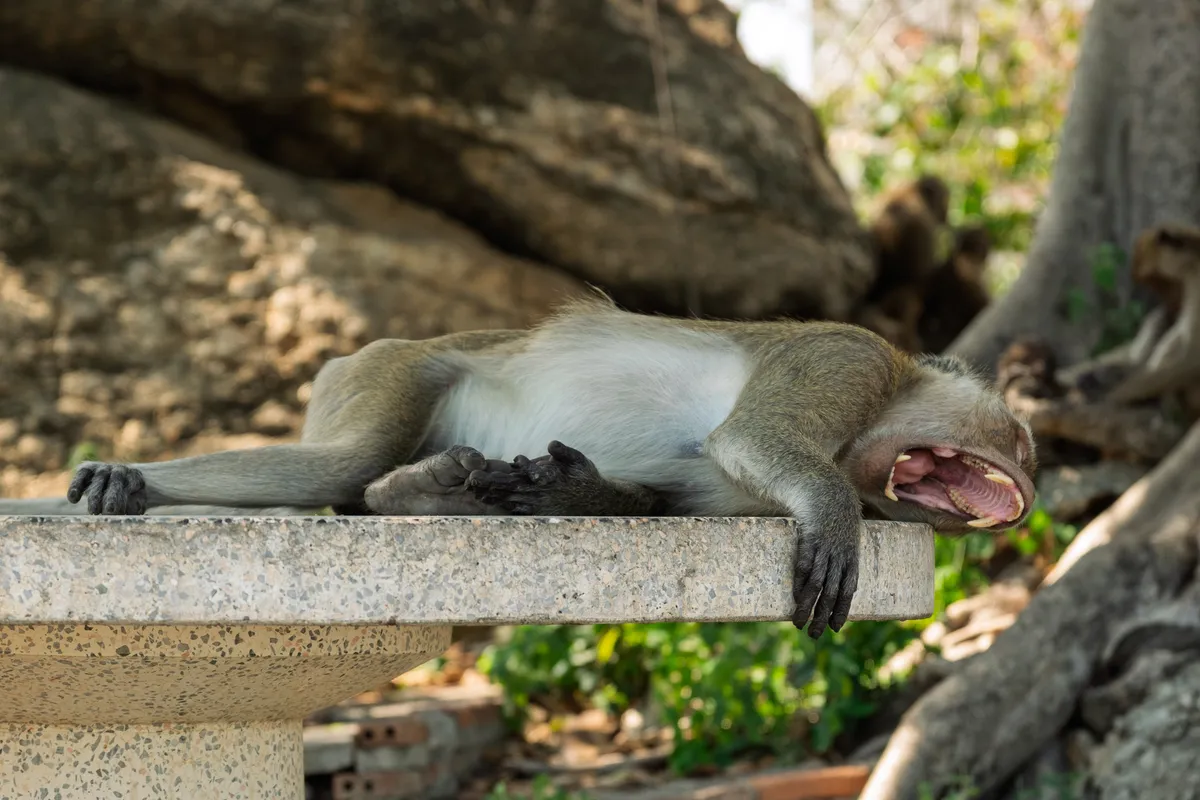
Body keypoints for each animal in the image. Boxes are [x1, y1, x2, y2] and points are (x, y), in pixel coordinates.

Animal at [0, 297, 1038, 639]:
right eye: (1023, 443)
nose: (1029, 487)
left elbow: (673, 491)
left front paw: (567, 487)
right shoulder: (845, 359)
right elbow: (751, 441)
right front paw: (830, 515)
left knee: (350, 483)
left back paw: (416, 494)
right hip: (389, 367)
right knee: (340, 460)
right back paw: (141, 482)